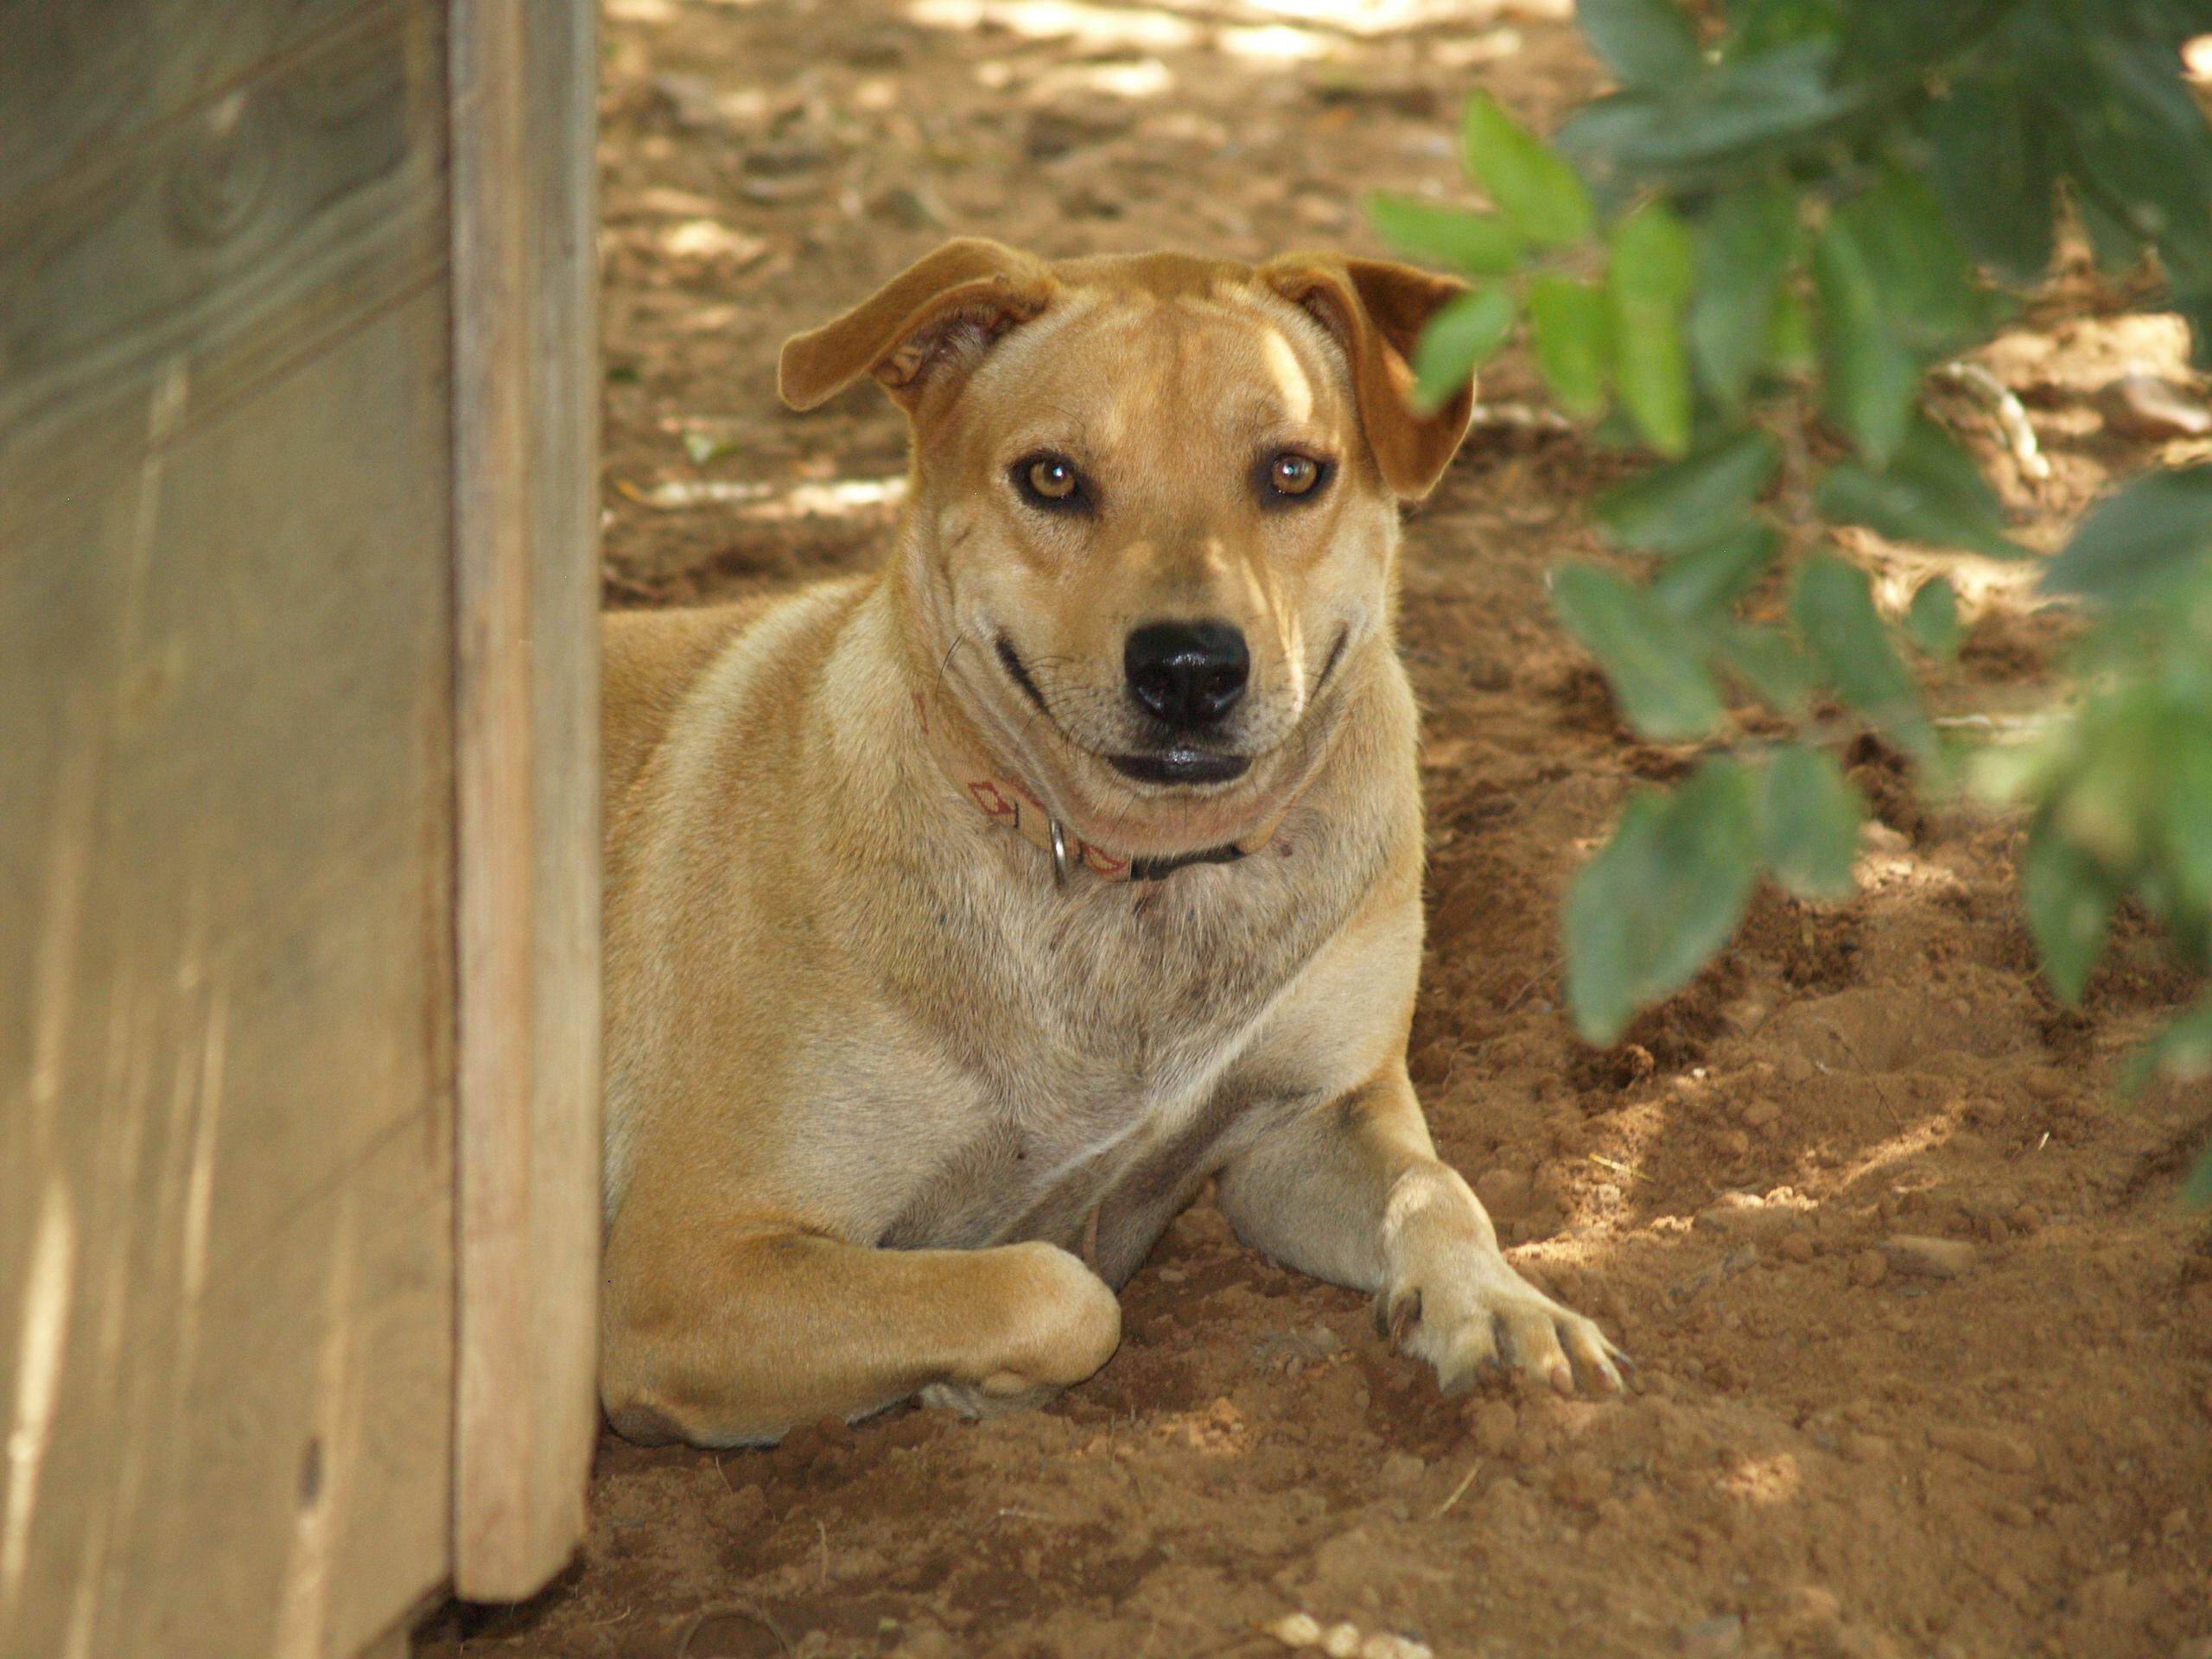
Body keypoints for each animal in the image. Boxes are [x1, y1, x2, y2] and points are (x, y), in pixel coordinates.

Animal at [601, 239, 1628, 1451]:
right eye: (1052, 478)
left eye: (1292, 472)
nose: (1189, 668)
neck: (1133, 876)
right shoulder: (689, 1268)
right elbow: (1054, 1286)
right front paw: (968, 1382)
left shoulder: (1312, 1121)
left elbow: (1440, 1191)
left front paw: (1503, 1309)